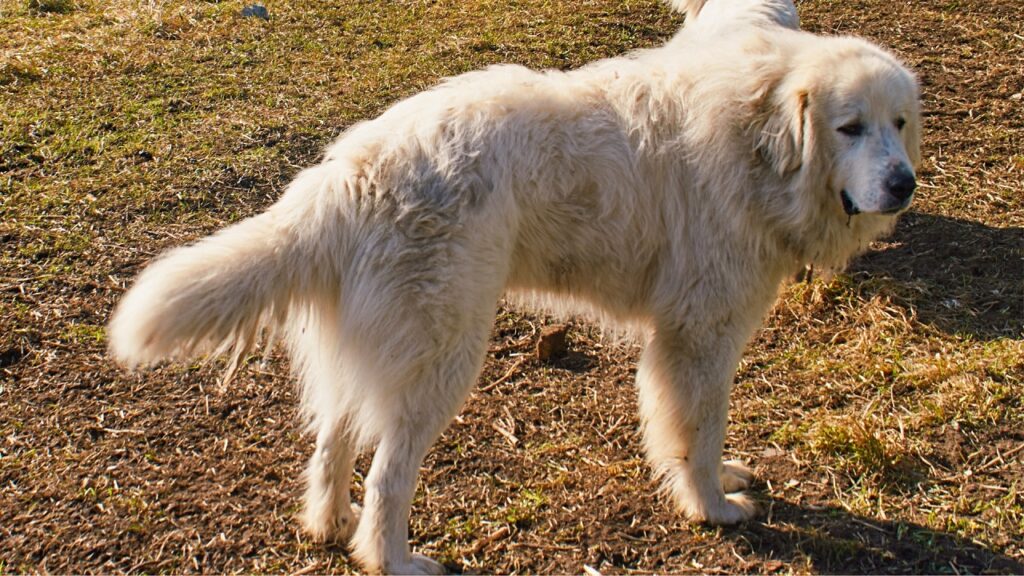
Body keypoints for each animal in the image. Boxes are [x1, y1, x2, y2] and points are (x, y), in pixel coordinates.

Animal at [110, 1, 921, 569]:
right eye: (849, 127)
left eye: (900, 123)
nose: (904, 184)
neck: (759, 140)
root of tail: (346, 175)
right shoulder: (699, 336)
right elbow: (698, 429)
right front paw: (712, 506)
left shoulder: (685, 338)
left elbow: (686, 430)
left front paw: (714, 481)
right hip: (443, 357)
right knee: (389, 477)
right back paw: (392, 560)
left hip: (378, 350)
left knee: (334, 442)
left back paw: (329, 525)